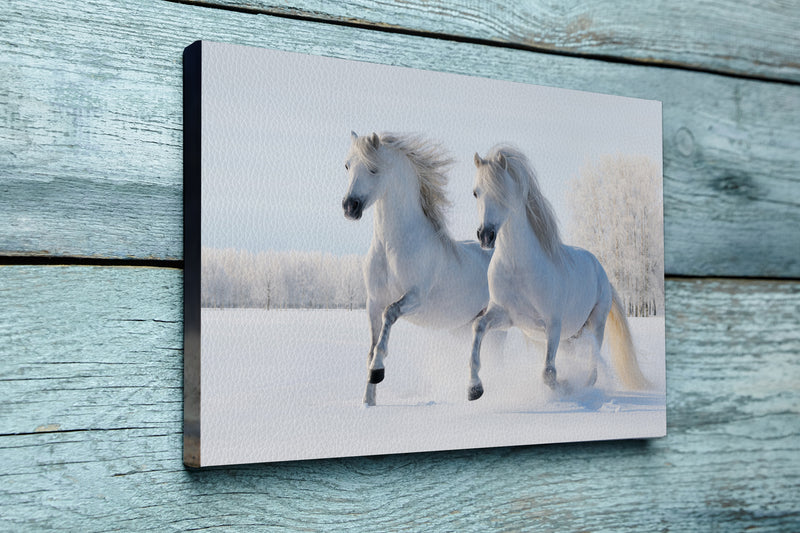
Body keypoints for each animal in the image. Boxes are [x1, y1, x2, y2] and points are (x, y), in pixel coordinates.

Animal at [344, 132, 494, 404]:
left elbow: (390, 315)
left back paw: (477, 390)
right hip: (464, 325)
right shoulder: (373, 302)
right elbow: (371, 347)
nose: (350, 206)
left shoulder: (415, 298)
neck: (392, 247)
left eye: (374, 168)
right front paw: (368, 402)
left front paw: (378, 372)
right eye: (347, 166)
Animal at [468, 145, 648, 400]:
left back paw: (584, 388)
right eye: (476, 193)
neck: (518, 269)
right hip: (569, 338)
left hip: (595, 324)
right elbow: (478, 327)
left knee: (593, 365)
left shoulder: (553, 325)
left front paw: (566, 387)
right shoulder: (506, 317)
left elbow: (548, 373)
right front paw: (474, 388)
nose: (485, 235)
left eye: (503, 191)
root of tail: (600, 269)